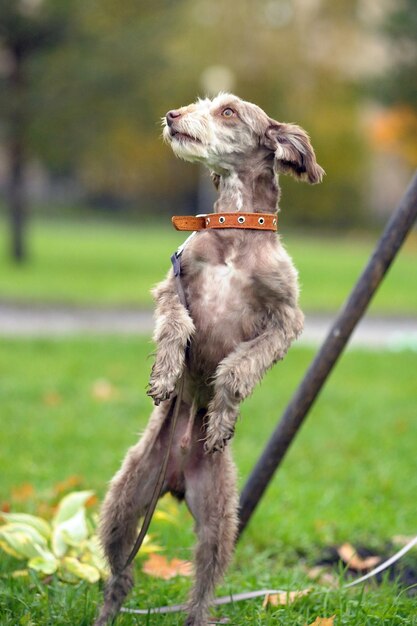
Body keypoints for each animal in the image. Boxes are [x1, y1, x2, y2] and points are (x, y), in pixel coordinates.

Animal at [92, 92, 324, 624]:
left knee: (202, 589)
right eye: (205, 103)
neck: (235, 234)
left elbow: (238, 366)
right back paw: (106, 612)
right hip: (124, 501)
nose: (172, 116)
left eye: (229, 111)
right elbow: (176, 324)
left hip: (219, 517)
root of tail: (176, 478)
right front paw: (166, 373)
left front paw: (220, 417)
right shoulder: (173, 284)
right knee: (121, 575)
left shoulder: (287, 319)